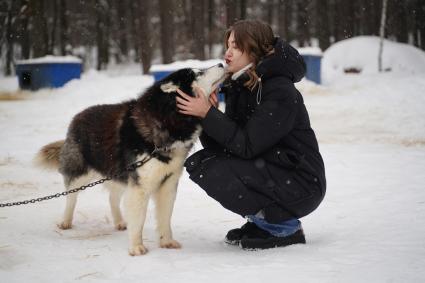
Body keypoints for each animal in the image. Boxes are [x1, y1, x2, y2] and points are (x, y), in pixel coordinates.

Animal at [34, 65, 225, 258]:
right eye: (197, 73)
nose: (221, 64)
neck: (167, 121)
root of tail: (78, 116)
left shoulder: (168, 184)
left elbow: (165, 217)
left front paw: (167, 241)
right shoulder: (140, 186)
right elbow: (139, 218)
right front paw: (136, 247)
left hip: (118, 173)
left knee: (112, 198)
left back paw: (119, 221)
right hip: (80, 173)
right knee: (71, 197)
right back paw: (65, 221)